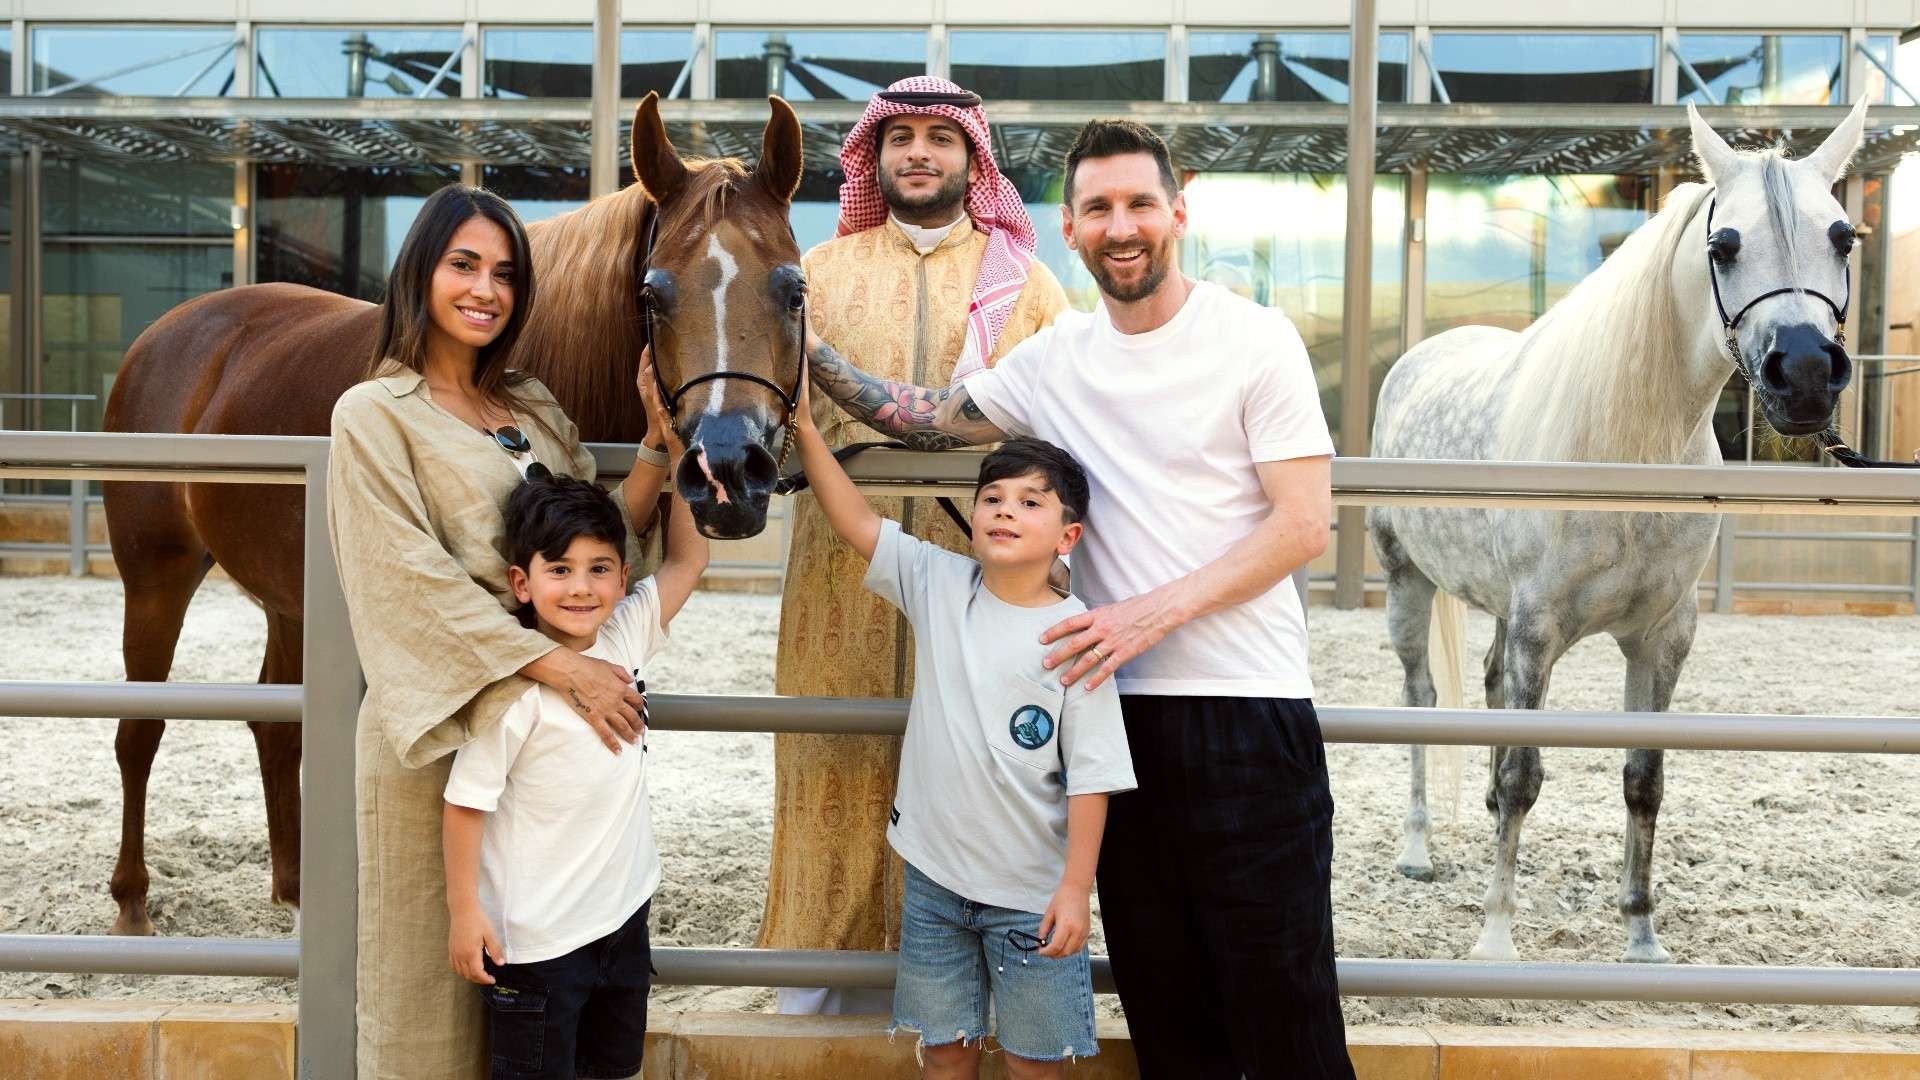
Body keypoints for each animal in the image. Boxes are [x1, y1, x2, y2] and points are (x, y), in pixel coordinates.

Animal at [99, 92, 802, 933]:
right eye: (651, 294)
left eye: (794, 289)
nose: (727, 468)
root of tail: (165, 339)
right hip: (155, 576)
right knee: (140, 730)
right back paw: (133, 902)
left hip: (293, 597)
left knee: (276, 724)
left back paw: (298, 893)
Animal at [1374, 100, 1866, 957]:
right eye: (1723, 246)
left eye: (1843, 237)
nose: (1804, 373)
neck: (1631, 454)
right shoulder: (1540, 628)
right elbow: (1525, 776)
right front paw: (1495, 940)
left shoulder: (1661, 638)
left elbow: (1644, 779)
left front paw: (1642, 939)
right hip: (1409, 582)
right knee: (1422, 698)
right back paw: (1417, 850)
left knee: (1490, 682)